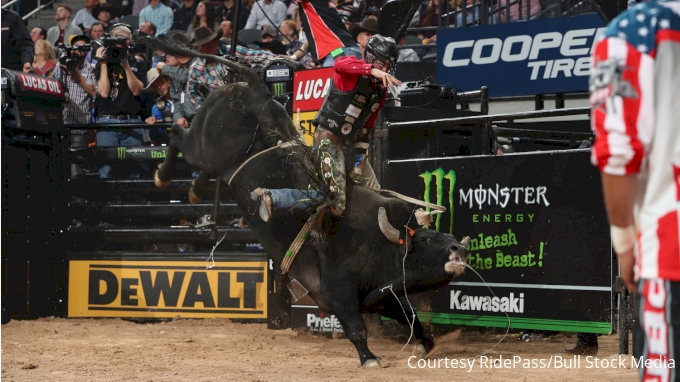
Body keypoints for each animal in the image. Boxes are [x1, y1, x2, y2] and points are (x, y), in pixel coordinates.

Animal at [146, 38, 470, 368]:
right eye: (425, 240)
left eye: (445, 235)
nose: (459, 249)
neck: (377, 237)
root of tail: (255, 87)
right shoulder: (335, 291)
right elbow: (356, 327)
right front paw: (369, 358)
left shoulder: (379, 293)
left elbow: (409, 316)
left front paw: (425, 345)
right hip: (202, 146)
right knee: (177, 134)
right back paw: (165, 176)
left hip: (213, 158)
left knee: (198, 163)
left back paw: (195, 189)